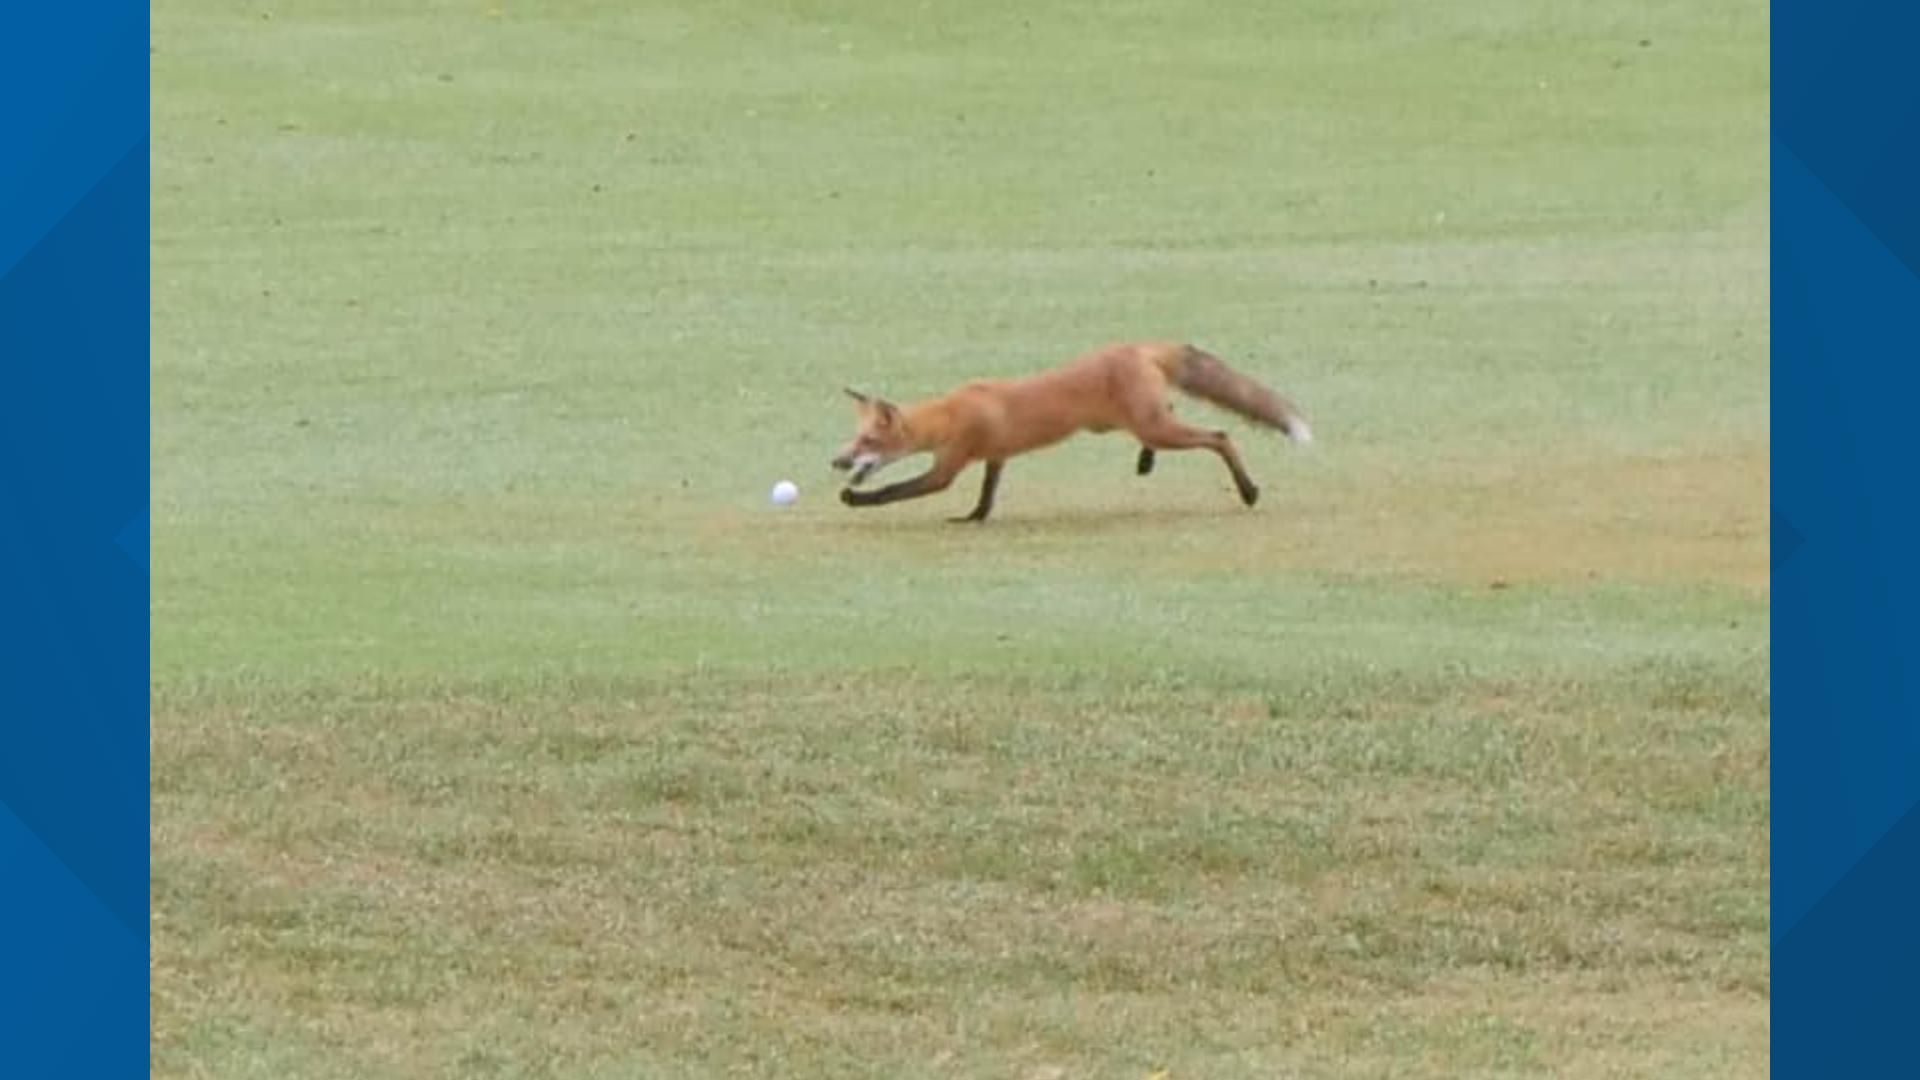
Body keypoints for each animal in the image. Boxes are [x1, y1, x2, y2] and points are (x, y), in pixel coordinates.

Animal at [833, 338, 1313, 518]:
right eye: (853, 438)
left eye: (868, 441)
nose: (837, 460)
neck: (950, 413)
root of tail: (1141, 347)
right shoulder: (996, 457)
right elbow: (987, 496)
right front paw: (974, 518)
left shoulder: (947, 467)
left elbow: (896, 490)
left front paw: (856, 499)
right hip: (1142, 421)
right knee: (1173, 420)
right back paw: (1145, 462)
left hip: (1155, 427)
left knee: (1219, 437)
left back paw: (1248, 491)